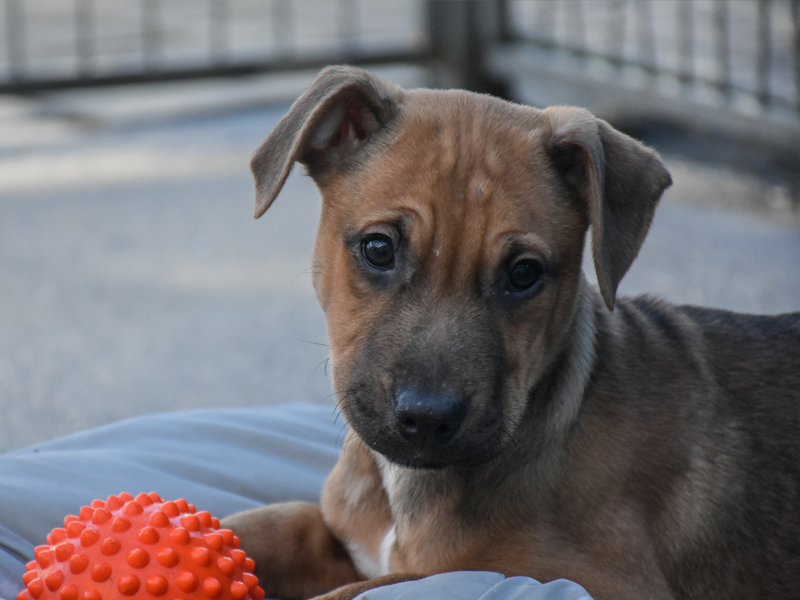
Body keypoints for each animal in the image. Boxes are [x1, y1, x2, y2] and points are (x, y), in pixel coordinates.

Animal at [222, 67, 800, 600]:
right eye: (378, 248)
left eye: (524, 274)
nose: (427, 419)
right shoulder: (342, 539)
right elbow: (275, 524)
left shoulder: (590, 581)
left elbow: (388, 582)